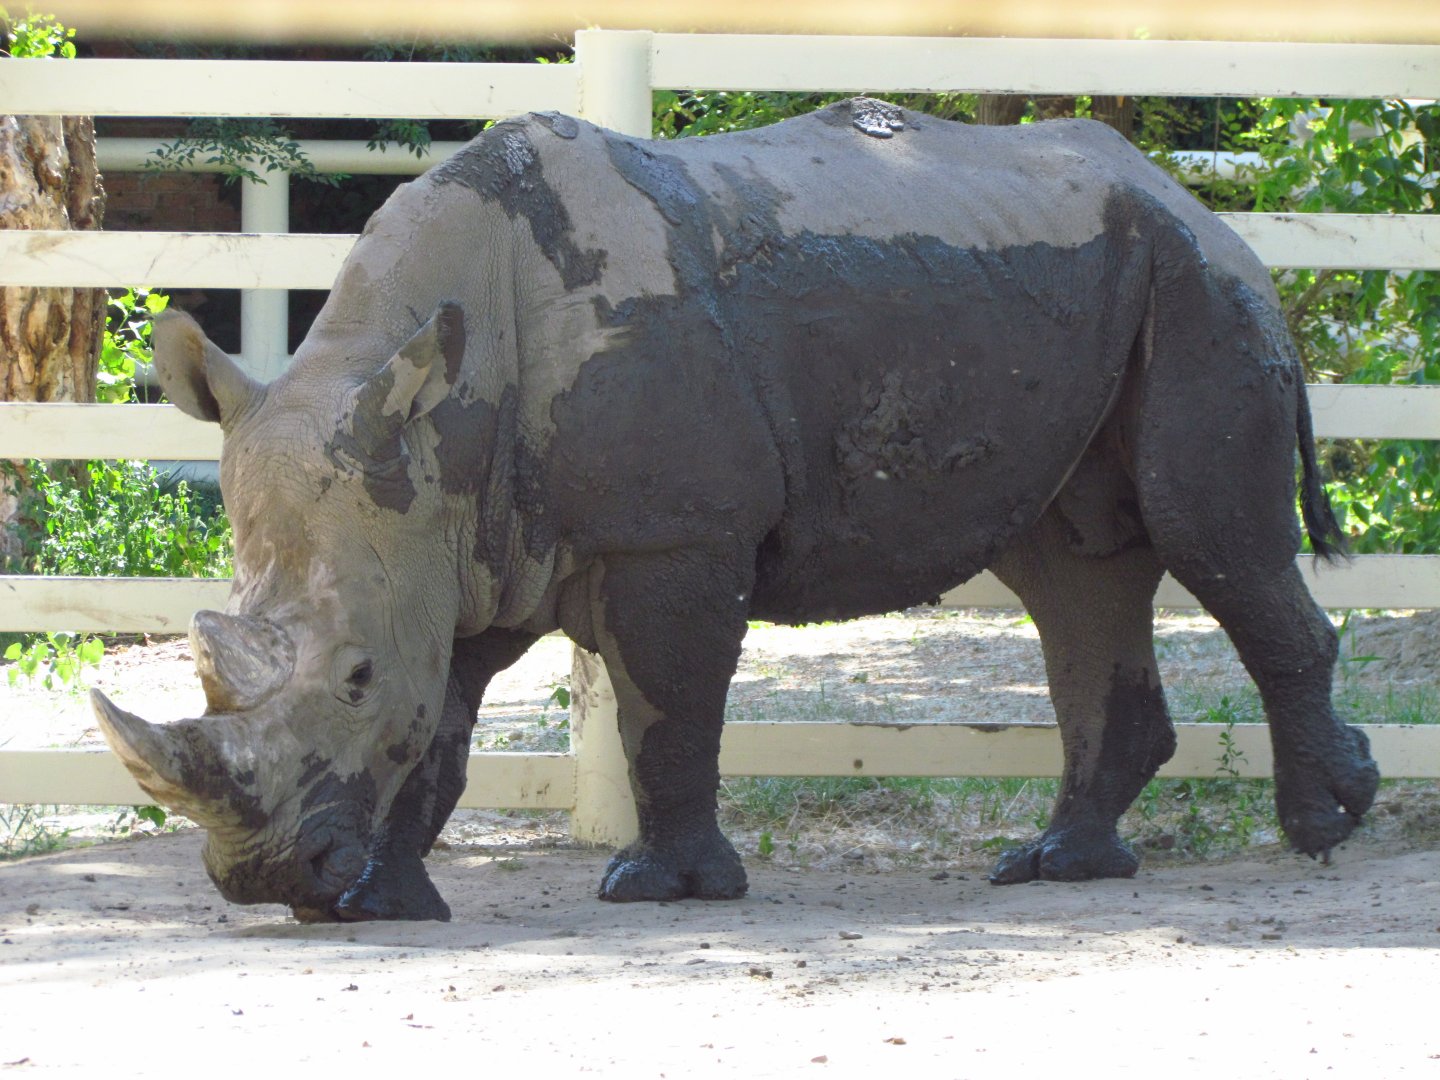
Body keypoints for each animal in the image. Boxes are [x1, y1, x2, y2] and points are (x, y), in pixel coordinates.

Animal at [92, 98, 1378, 922]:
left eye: (352, 676)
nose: (263, 881)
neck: (438, 402)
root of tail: (1198, 201)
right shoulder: (452, 544)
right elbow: (441, 727)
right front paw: (381, 905)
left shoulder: (675, 534)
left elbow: (666, 710)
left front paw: (661, 890)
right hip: (1101, 277)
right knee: (1071, 567)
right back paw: (1059, 865)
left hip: (1203, 287)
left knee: (1211, 535)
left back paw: (1324, 829)